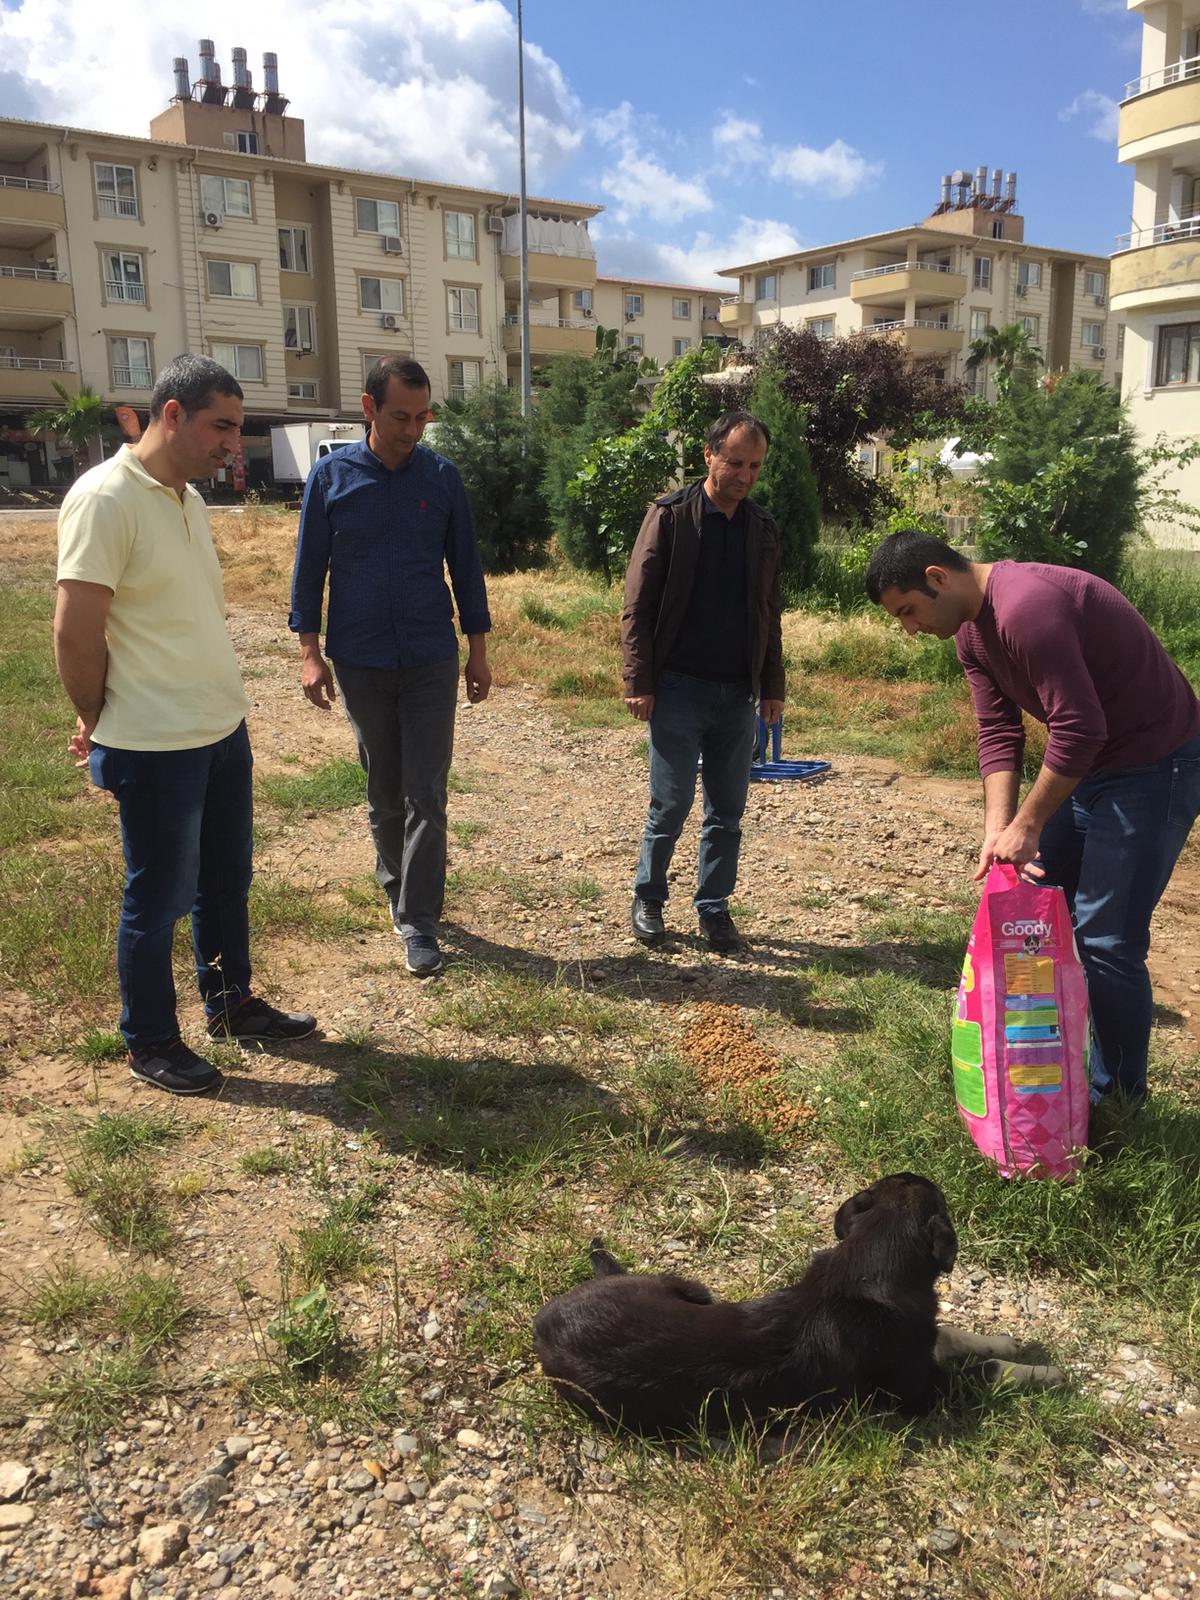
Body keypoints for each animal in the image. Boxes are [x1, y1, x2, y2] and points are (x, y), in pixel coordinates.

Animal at [534, 1164, 1062, 1440]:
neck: (867, 1269)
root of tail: (544, 1324)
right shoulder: (920, 1391)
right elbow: (984, 1372)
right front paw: (1049, 1374)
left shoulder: (924, 1345)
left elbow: (951, 1333)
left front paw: (1005, 1341)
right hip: (692, 1287)